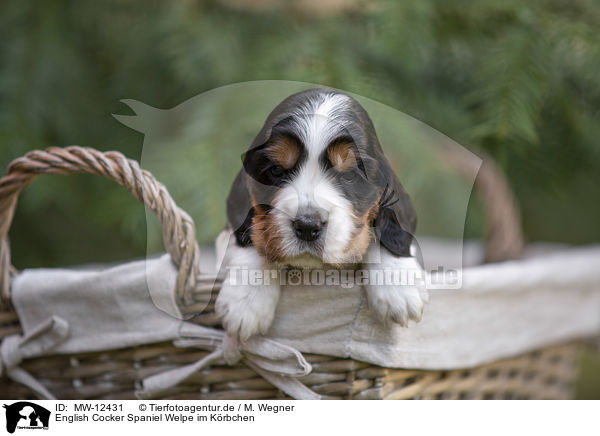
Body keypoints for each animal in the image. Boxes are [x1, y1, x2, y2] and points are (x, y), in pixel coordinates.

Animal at [216, 87, 426, 340]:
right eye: (276, 170)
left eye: (349, 175)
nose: (307, 226)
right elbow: (252, 234)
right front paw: (245, 301)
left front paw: (398, 288)